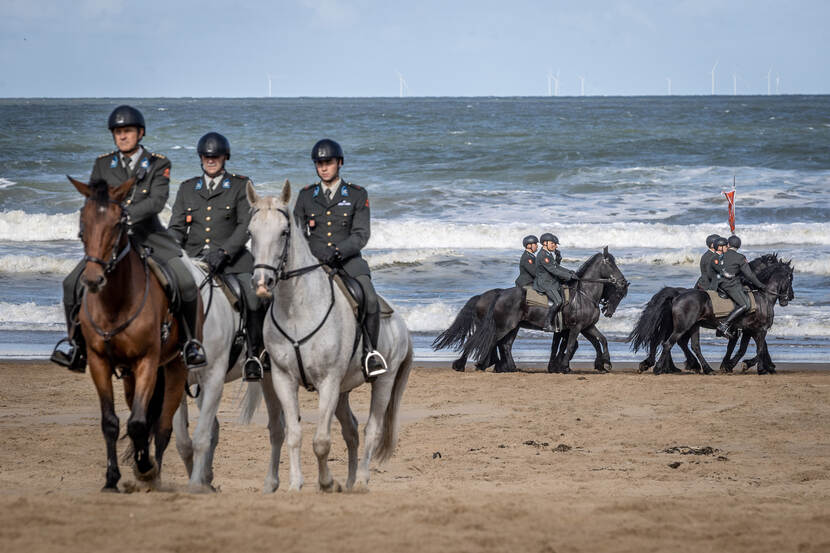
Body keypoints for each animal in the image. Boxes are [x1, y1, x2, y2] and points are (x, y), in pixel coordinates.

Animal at [69, 175, 195, 490]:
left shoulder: (147, 361)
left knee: (161, 427)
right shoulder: (99, 362)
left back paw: (154, 475)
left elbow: (139, 423)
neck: (115, 301)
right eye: (83, 220)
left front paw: (146, 468)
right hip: (128, 376)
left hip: (174, 368)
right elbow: (111, 422)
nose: (93, 279)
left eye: (118, 223)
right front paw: (111, 478)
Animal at [172, 256, 286, 490]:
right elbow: (183, 441)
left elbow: (201, 436)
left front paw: (197, 484)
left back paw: (271, 482)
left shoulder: (214, 378)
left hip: (270, 378)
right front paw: (200, 480)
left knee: (277, 429)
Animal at [244, 181, 416, 492]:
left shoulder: (328, 381)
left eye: (284, 232)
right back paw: (349, 482)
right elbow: (294, 434)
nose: (262, 283)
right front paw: (296, 484)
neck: (297, 309)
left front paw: (326, 483)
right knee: (351, 430)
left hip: (382, 381)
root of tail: (400, 324)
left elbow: (321, 441)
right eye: (251, 232)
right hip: (344, 391)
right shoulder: (283, 379)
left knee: (372, 430)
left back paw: (361, 481)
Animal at [436, 248, 632, 374]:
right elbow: (570, 346)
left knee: (503, 345)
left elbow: (601, 340)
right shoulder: (576, 328)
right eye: (611, 265)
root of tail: (499, 295)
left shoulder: (585, 327)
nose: (622, 281)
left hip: (511, 327)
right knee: (487, 341)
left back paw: (506, 367)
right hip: (503, 327)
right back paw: (471, 364)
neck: (584, 294)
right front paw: (564, 367)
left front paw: (605, 363)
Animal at [632, 260, 800, 376]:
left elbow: (744, 349)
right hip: (682, 327)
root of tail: (677, 296)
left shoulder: (747, 330)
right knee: (668, 343)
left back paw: (703, 368)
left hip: (693, 326)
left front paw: (731, 365)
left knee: (691, 346)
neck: (763, 297)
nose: (790, 297)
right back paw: (660, 368)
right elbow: (759, 350)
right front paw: (755, 367)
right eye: (790, 278)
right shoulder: (760, 329)